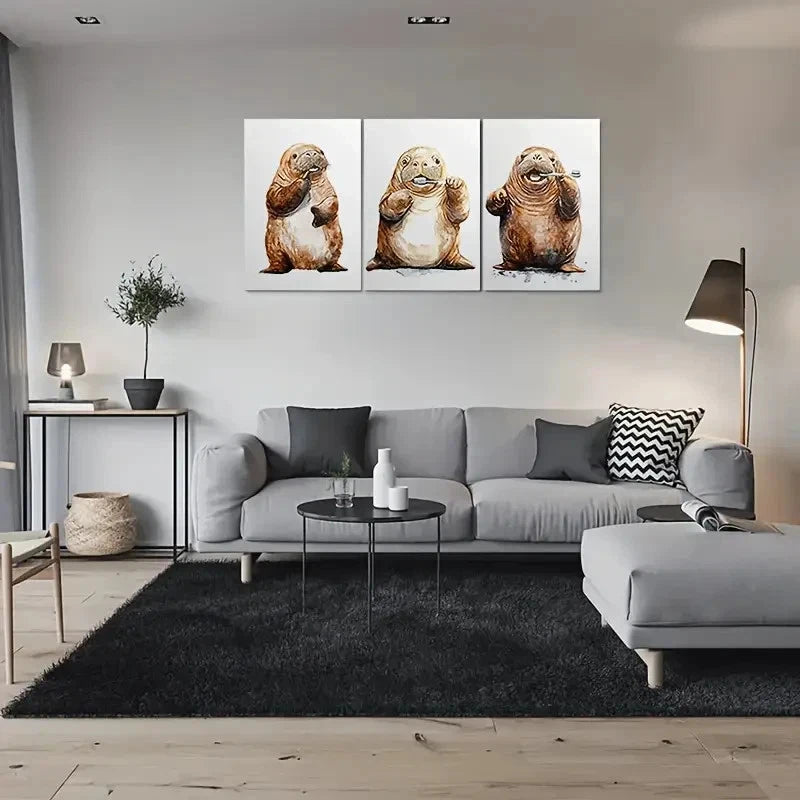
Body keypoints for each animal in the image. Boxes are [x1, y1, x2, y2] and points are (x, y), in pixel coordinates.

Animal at [261, 143, 345, 273]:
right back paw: (273, 270)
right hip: (274, 245)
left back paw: (334, 268)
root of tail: (303, 266)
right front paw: (303, 180)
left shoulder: (329, 190)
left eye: (321, 151)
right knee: (278, 260)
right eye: (294, 155)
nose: (311, 153)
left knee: (331, 260)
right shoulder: (276, 185)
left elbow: (333, 202)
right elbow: (275, 197)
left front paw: (315, 215)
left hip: (335, 246)